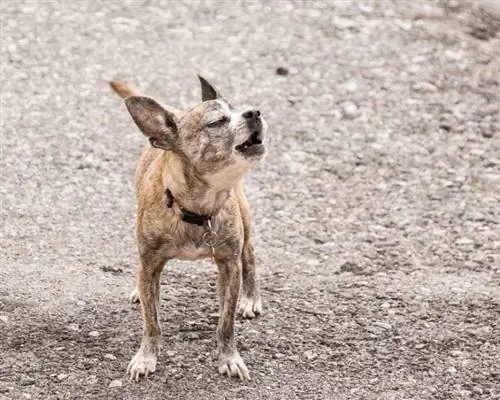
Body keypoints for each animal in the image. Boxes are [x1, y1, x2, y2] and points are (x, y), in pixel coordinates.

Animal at [109, 76, 266, 382]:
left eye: (237, 109)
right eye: (216, 122)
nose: (254, 112)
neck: (198, 209)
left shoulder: (229, 266)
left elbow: (226, 322)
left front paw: (229, 358)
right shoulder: (150, 264)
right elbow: (151, 320)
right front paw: (146, 357)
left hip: (245, 219)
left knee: (250, 255)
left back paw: (250, 297)